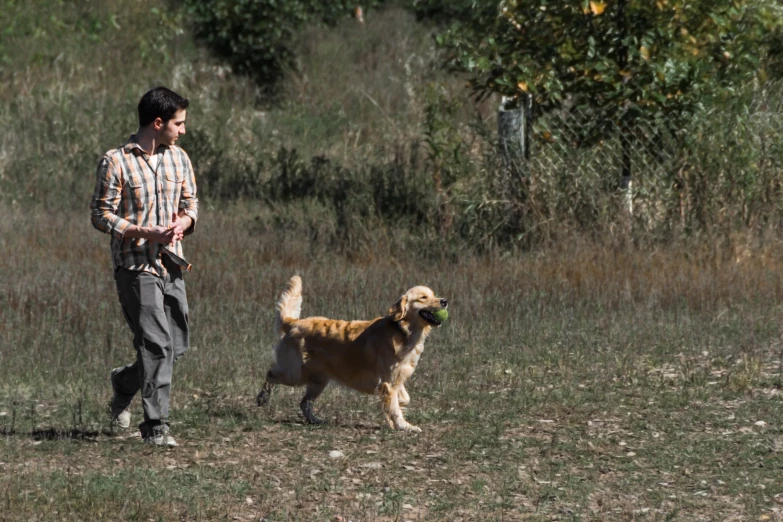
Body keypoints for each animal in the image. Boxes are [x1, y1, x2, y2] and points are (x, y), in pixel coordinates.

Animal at [258, 274, 448, 428]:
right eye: (423, 297)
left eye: (434, 295)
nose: (444, 301)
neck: (402, 331)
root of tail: (294, 322)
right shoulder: (388, 382)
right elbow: (394, 408)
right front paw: (404, 426)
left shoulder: (397, 378)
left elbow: (403, 399)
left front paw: (399, 408)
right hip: (295, 374)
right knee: (270, 374)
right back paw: (262, 398)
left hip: (318, 380)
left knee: (304, 403)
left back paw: (315, 420)